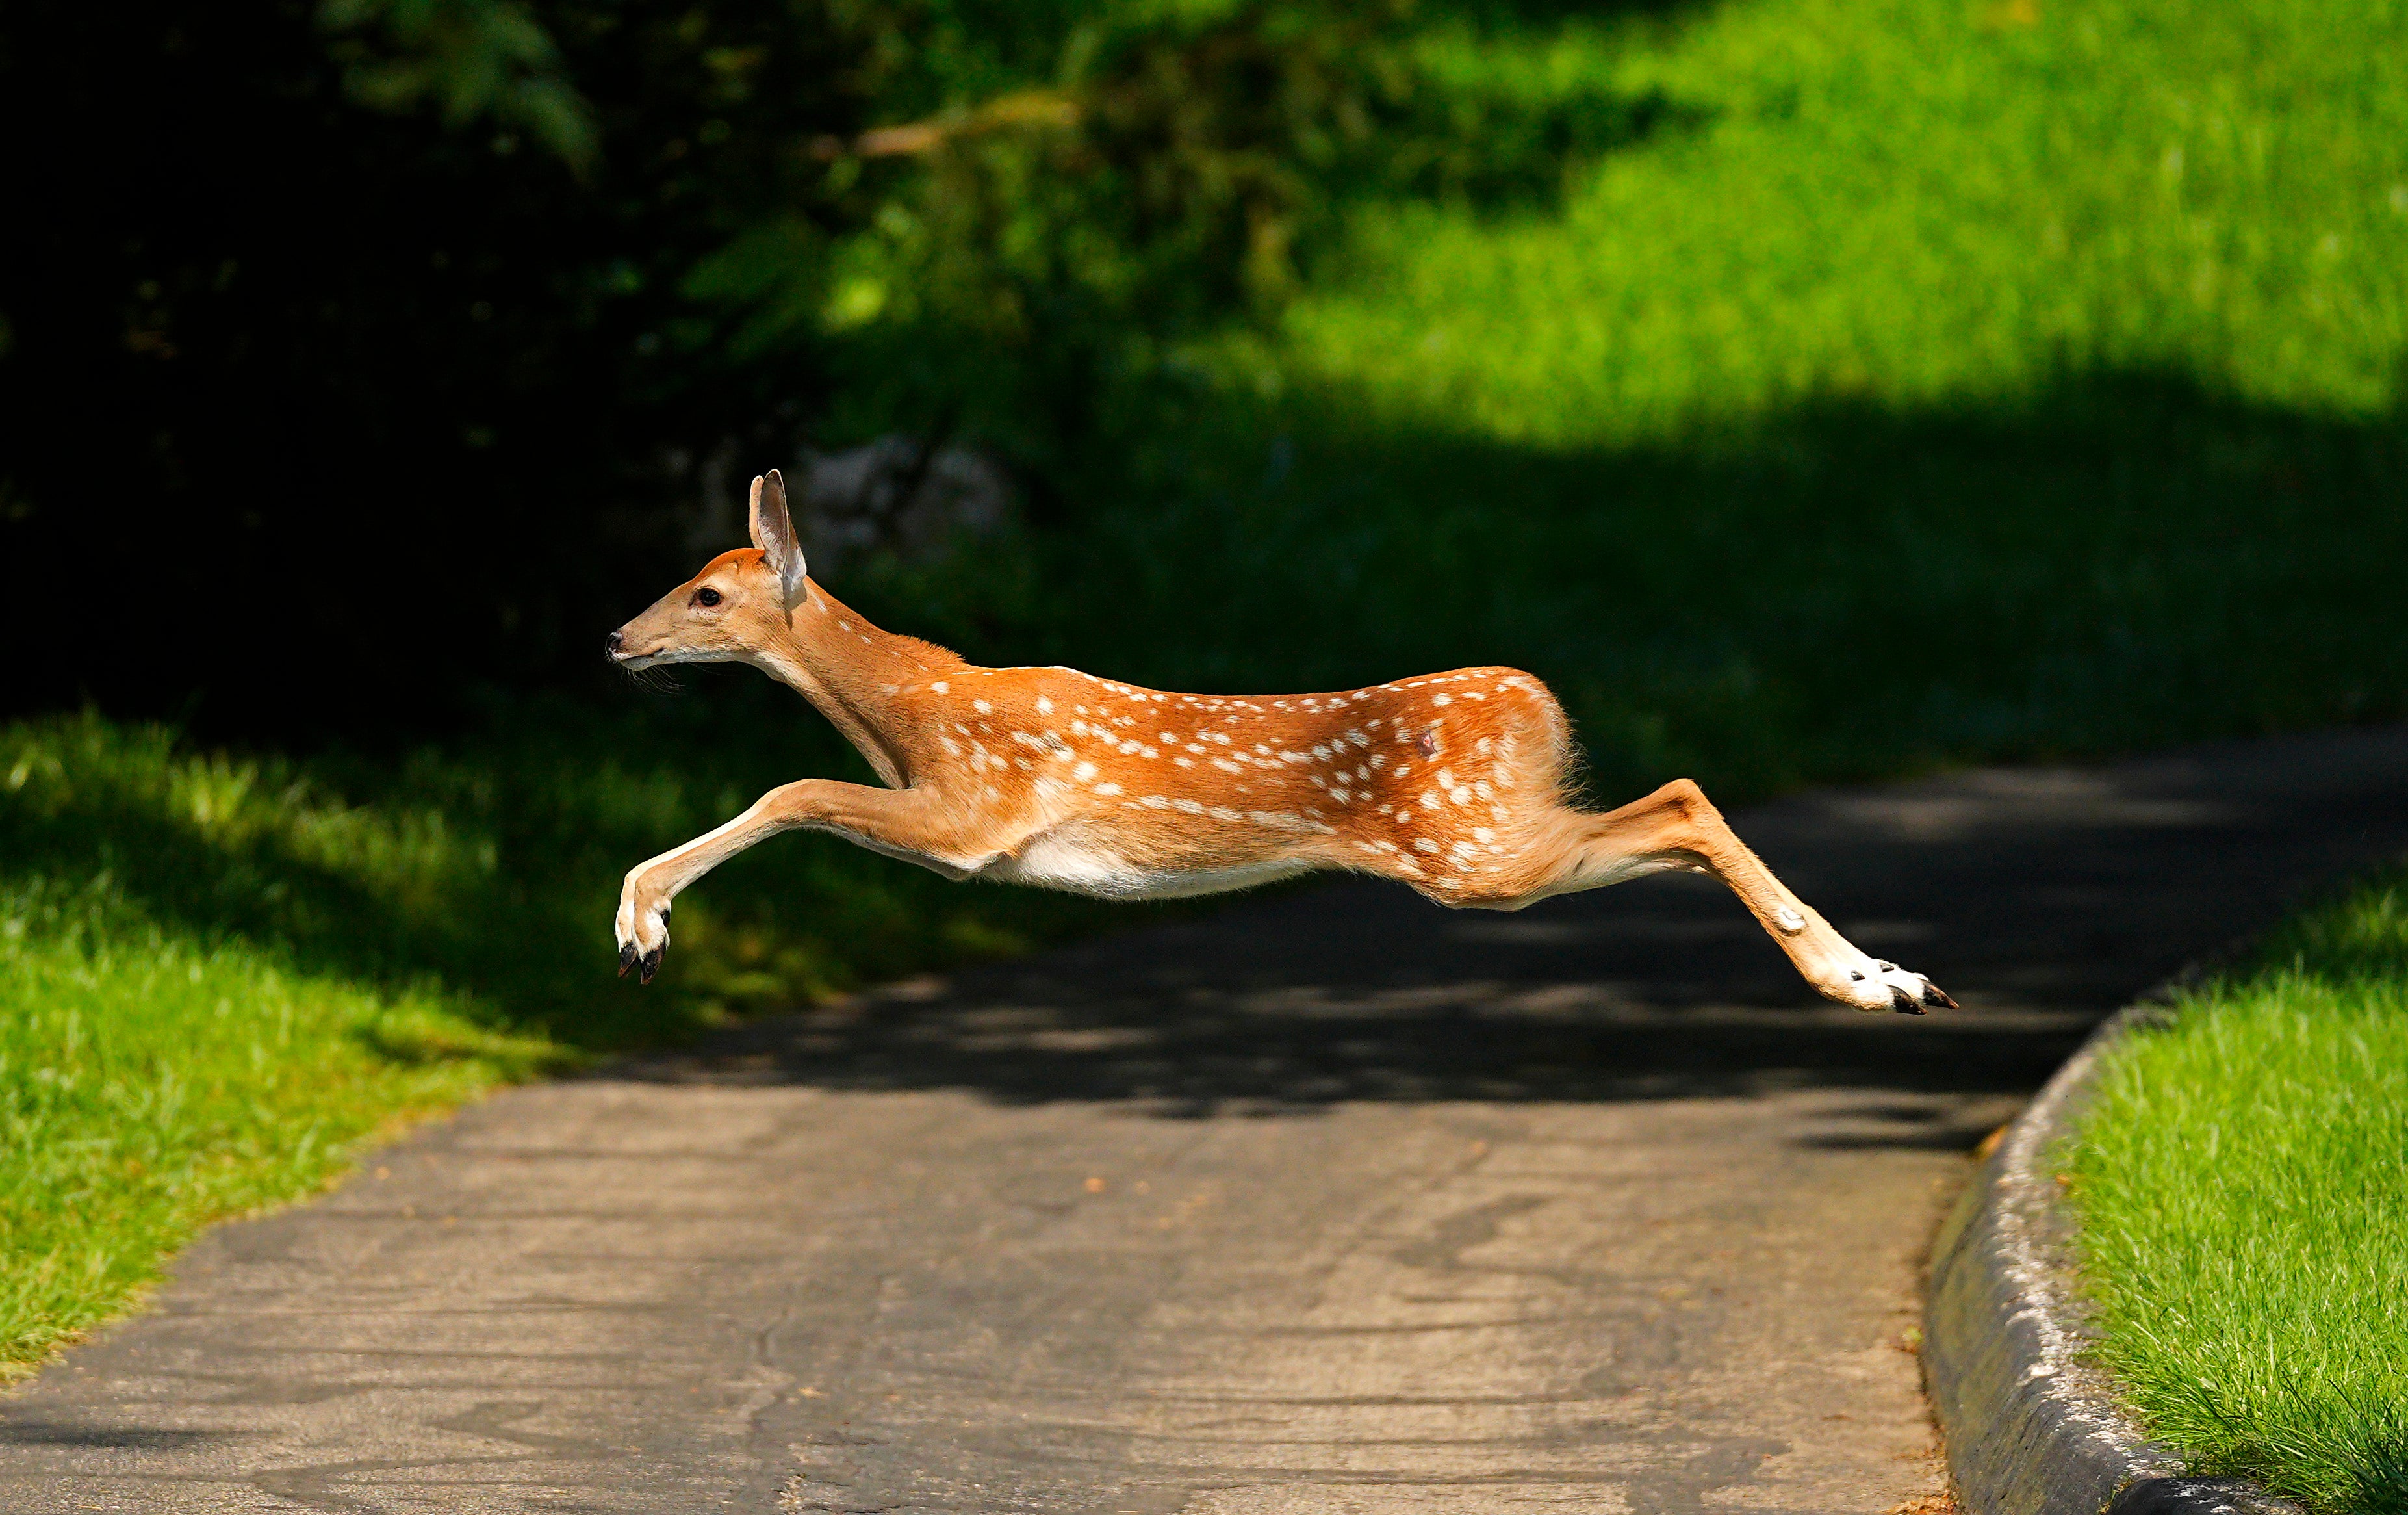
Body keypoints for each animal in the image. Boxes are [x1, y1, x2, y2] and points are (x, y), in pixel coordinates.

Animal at [606, 470, 1956, 1015]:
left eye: (709, 597)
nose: (618, 637)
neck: (910, 707)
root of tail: (1534, 699)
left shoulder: (977, 815)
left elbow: (791, 786)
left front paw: (640, 931)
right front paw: (641, 929)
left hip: (1468, 850)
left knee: (1676, 795)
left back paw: (1872, 981)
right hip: (1489, 837)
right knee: (1672, 805)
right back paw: (1886, 977)